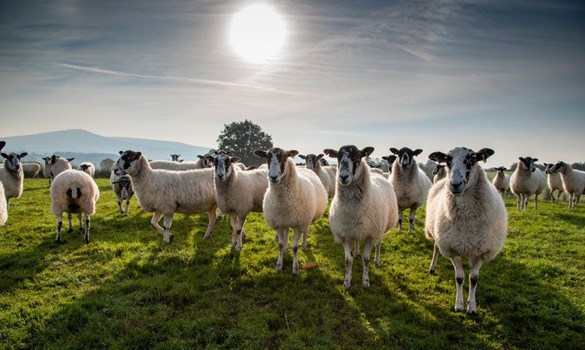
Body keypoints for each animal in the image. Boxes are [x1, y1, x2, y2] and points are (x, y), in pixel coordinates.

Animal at [256, 146, 328, 274]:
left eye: (285, 157)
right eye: (266, 157)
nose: (273, 177)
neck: (284, 202)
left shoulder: (299, 224)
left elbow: (295, 248)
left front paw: (295, 268)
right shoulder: (279, 223)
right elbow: (280, 244)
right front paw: (279, 265)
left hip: (306, 220)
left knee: (305, 231)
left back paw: (304, 245)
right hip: (286, 220)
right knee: (287, 231)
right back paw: (285, 249)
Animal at [322, 145, 400, 290]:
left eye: (358, 158)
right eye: (338, 157)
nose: (343, 177)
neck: (353, 211)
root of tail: (376, 173)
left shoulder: (371, 235)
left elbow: (366, 259)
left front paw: (365, 282)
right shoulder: (345, 234)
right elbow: (348, 260)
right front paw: (347, 282)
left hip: (379, 229)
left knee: (378, 244)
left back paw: (377, 260)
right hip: (357, 230)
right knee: (357, 241)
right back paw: (357, 252)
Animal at [424, 146, 506, 316]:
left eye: (472, 159)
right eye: (447, 160)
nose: (455, 184)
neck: (468, 219)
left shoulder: (481, 251)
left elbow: (473, 279)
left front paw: (472, 307)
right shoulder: (452, 249)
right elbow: (459, 278)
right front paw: (459, 305)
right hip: (439, 235)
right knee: (436, 248)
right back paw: (432, 267)